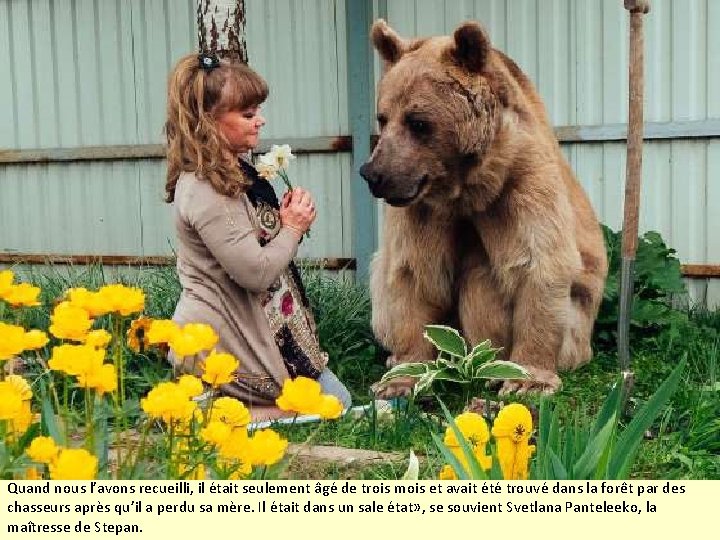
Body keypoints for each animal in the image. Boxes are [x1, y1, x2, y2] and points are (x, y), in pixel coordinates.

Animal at [360, 20, 608, 396]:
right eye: (383, 117)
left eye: (418, 121)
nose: (374, 174)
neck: (465, 188)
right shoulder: (421, 210)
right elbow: (413, 272)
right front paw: (400, 378)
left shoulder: (521, 184)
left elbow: (539, 263)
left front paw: (528, 380)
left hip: (576, 331)